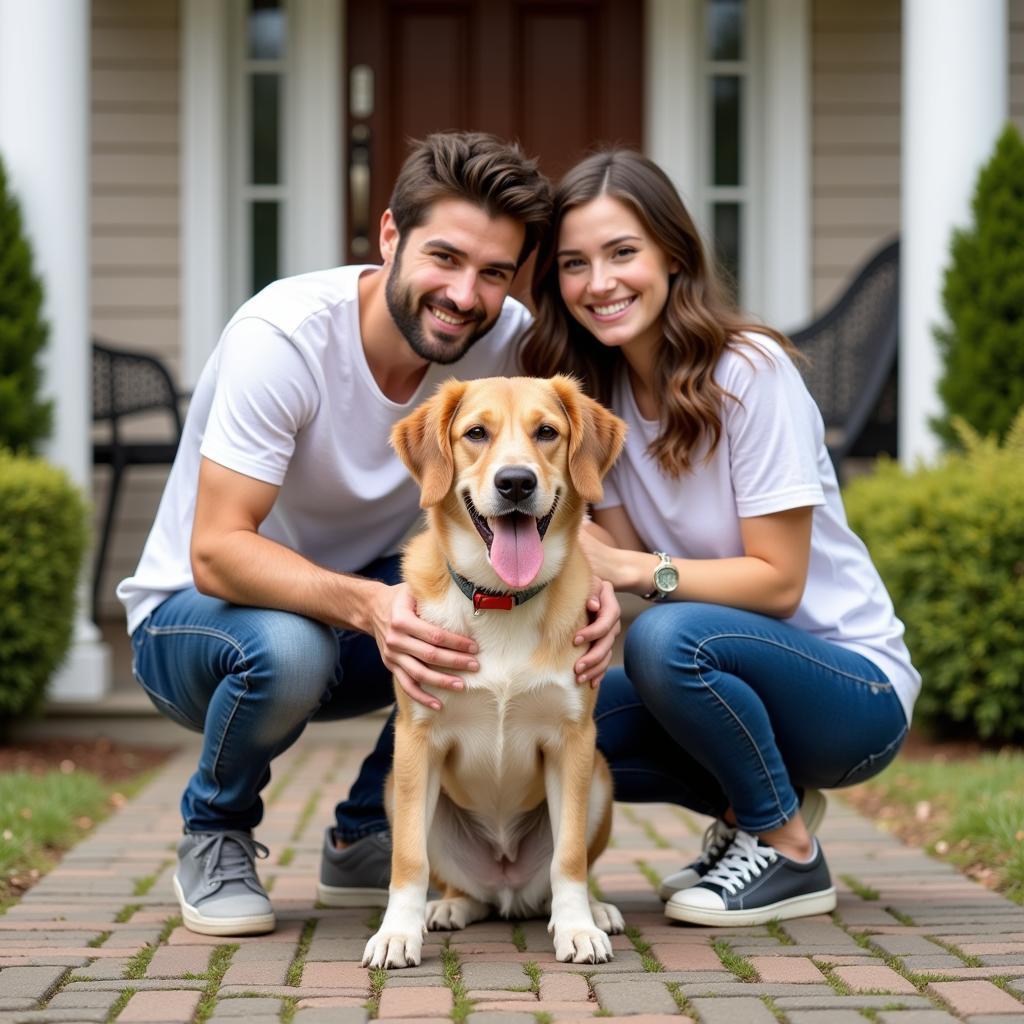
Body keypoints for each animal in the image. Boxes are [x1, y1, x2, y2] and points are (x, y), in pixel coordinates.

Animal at [364, 374, 626, 966]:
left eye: (546, 432)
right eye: (476, 434)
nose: (515, 483)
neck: (502, 597)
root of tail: (508, 889)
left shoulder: (573, 740)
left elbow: (569, 858)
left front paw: (577, 927)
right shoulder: (417, 740)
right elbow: (408, 860)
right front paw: (397, 933)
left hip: (601, 776)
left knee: (556, 875)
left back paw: (594, 910)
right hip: (397, 787)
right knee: (464, 888)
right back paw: (448, 907)